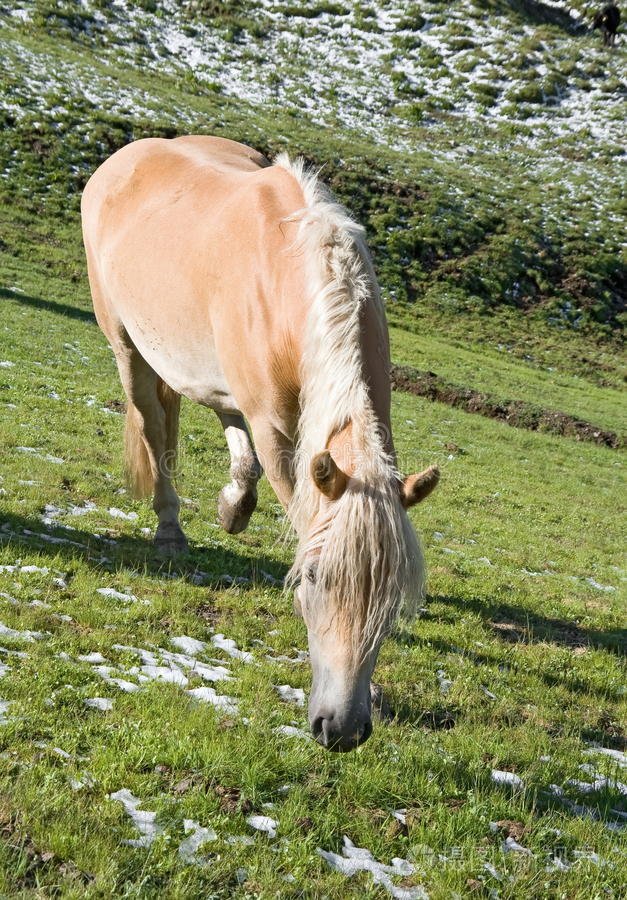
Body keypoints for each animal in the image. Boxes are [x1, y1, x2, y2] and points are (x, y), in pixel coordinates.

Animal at [81, 135, 440, 752]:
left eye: (395, 597)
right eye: (315, 580)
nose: (343, 729)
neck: (293, 278)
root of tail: (125, 155)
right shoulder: (276, 432)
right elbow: (300, 514)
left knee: (221, 414)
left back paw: (233, 505)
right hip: (127, 348)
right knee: (155, 429)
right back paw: (171, 527)